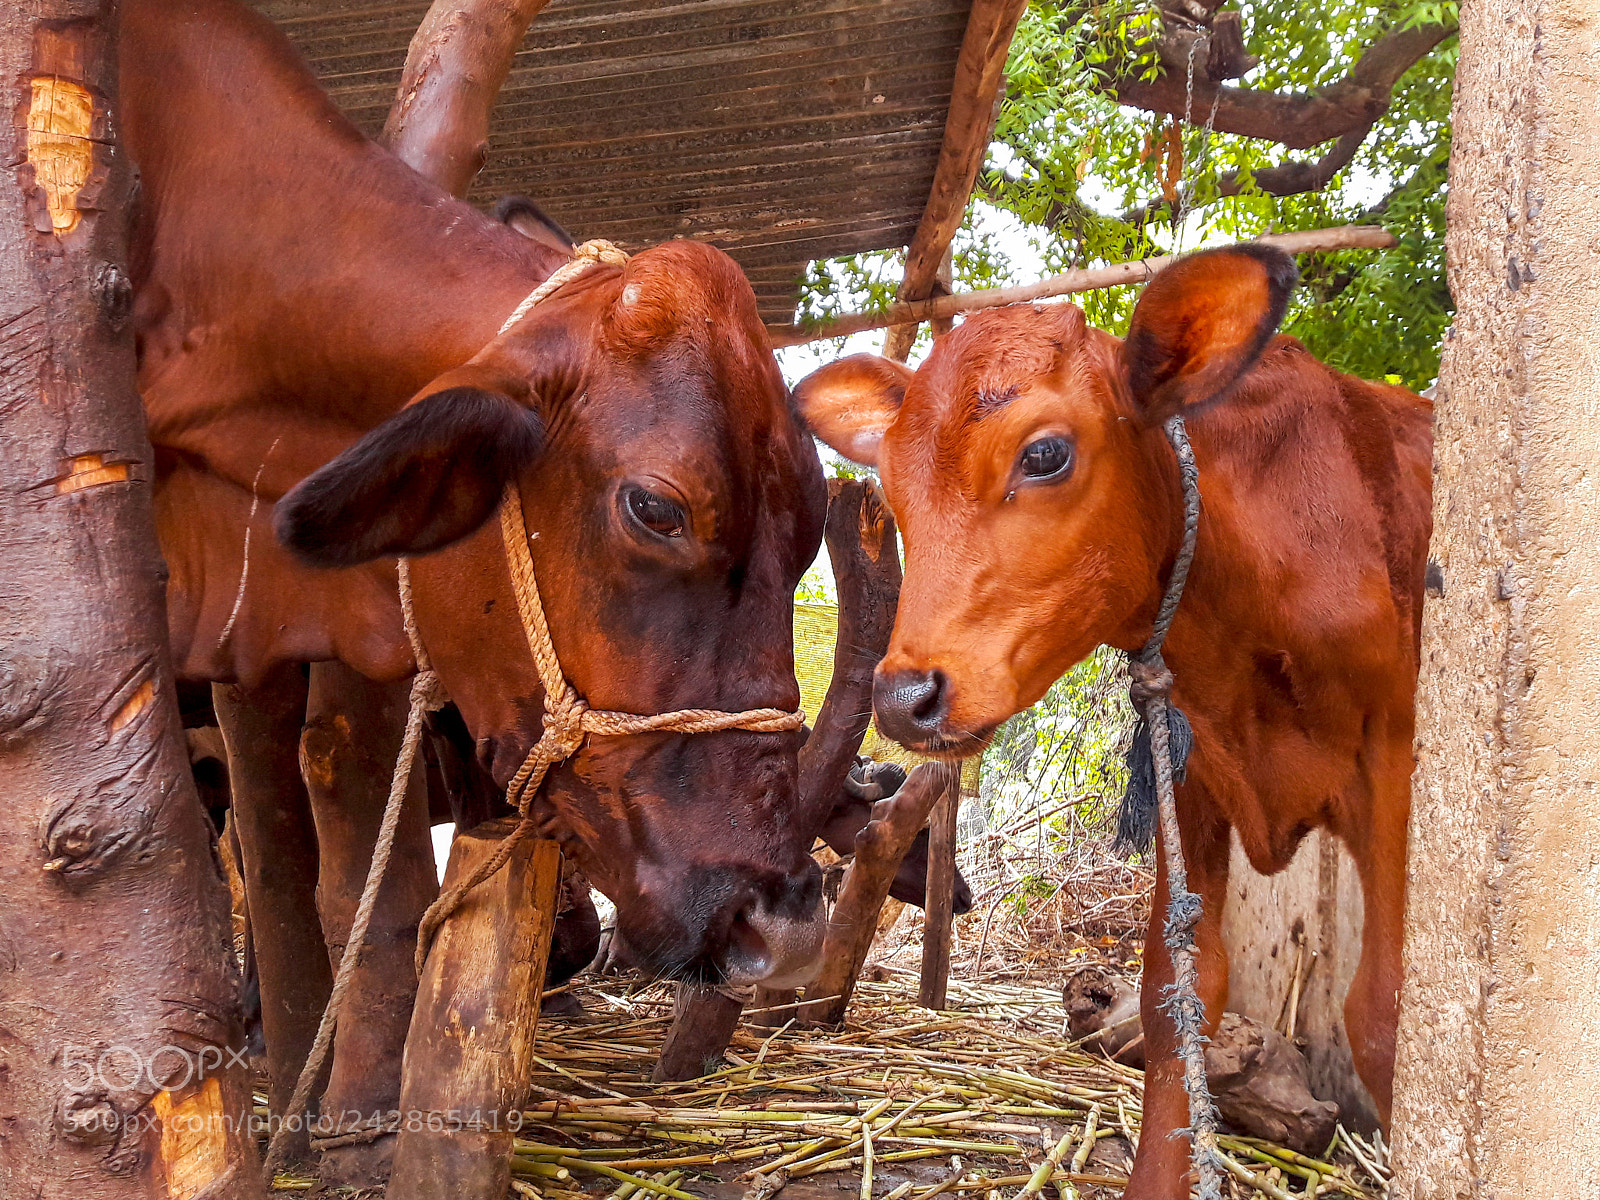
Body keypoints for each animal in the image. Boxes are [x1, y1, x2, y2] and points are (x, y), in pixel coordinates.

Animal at [790, 245, 1431, 1200]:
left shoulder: (1397, 759)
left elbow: (1387, 1013)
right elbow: (1179, 993)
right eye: (895, 489)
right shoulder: (1194, 771)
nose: (903, 697)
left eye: (1046, 453)